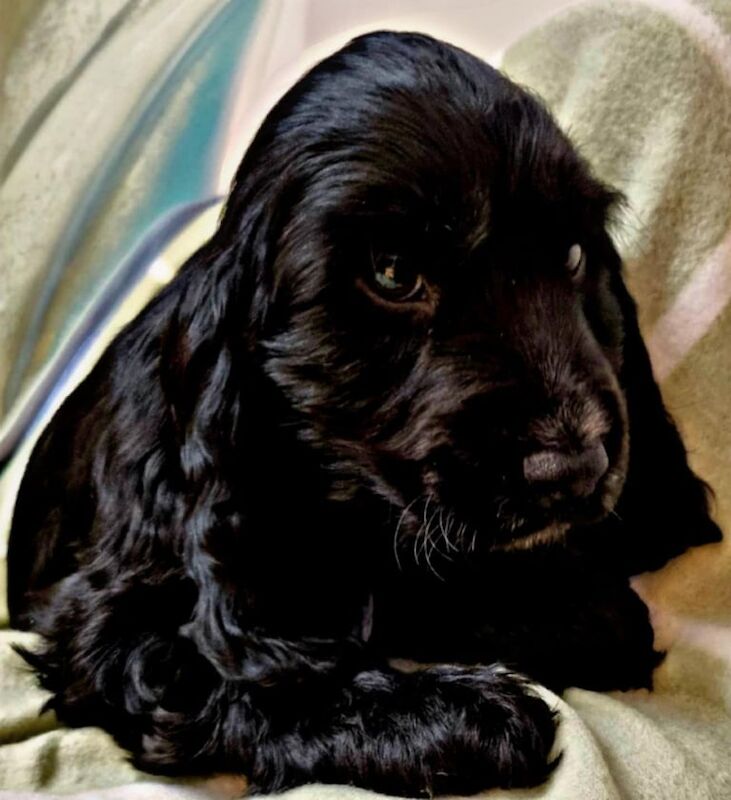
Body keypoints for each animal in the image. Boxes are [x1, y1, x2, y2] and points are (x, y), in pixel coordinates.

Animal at [5, 29, 724, 792]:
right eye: (392, 272)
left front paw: (569, 608)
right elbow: (262, 678)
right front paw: (461, 718)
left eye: (574, 254)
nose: (575, 468)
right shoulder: (112, 623)